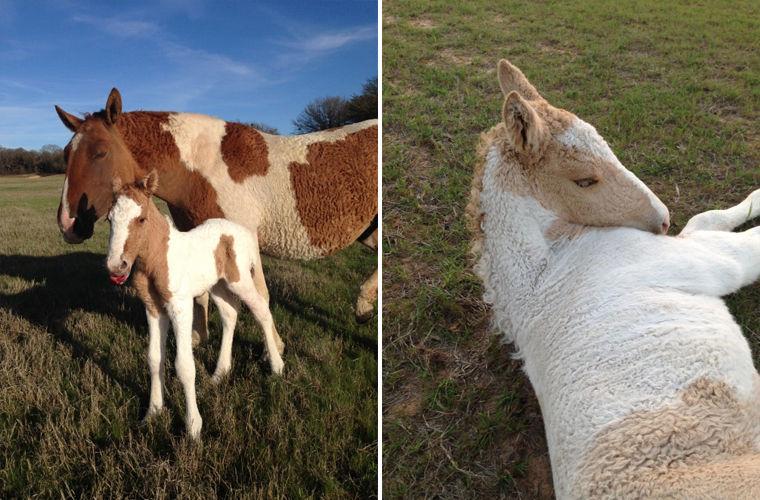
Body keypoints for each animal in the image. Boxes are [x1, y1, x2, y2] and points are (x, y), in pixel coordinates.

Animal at [105, 171, 284, 438]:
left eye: (141, 219)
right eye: (109, 220)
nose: (116, 266)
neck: (158, 257)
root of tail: (242, 232)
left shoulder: (181, 306)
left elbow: (184, 365)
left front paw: (193, 426)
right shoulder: (153, 308)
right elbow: (154, 358)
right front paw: (153, 413)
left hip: (240, 281)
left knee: (262, 310)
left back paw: (277, 366)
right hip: (218, 286)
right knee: (230, 315)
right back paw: (220, 373)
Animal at [470, 59, 760, 500]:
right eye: (585, 180)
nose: (662, 219)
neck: (545, 273)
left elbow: (706, 218)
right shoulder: (704, 261)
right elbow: (745, 246)